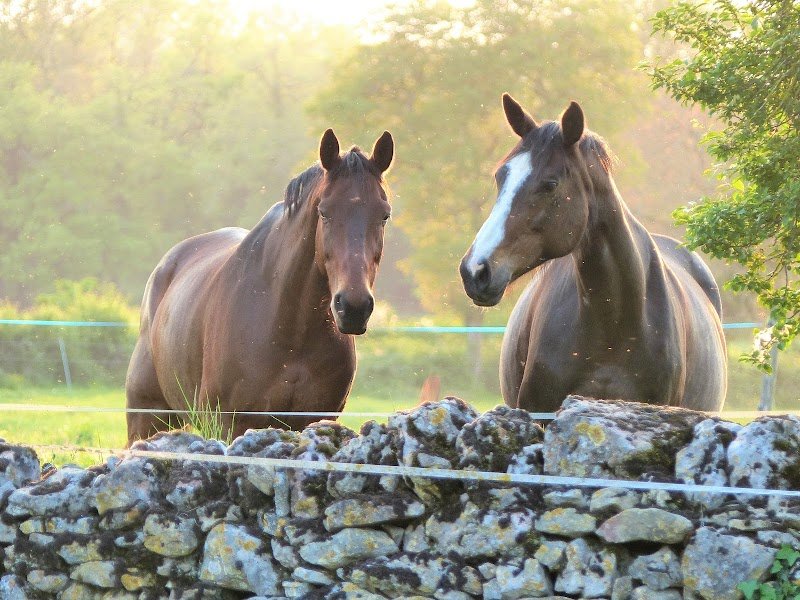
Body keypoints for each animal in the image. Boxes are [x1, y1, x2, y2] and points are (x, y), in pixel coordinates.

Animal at [125, 129, 394, 444]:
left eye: (384, 214)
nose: (353, 307)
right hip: (147, 418)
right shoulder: (231, 424)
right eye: (324, 212)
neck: (289, 330)